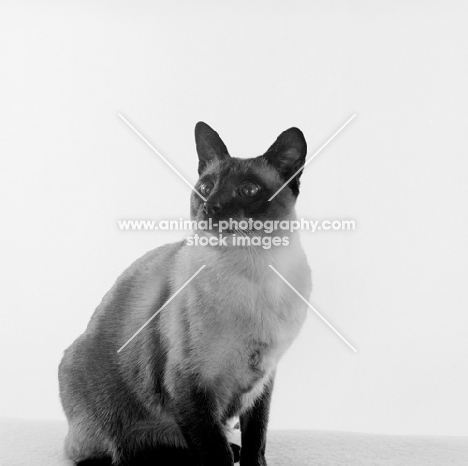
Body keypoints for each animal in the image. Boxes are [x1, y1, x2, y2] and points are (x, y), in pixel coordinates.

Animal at [60, 122, 312, 464]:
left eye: (248, 190)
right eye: (206, 187)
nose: (210, 206)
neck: (256, 274)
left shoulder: (264, 379)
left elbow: (256, 440)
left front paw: (249, 459)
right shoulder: (190, 385)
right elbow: (212, 449)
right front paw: (224, 456)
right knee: (120, 452)